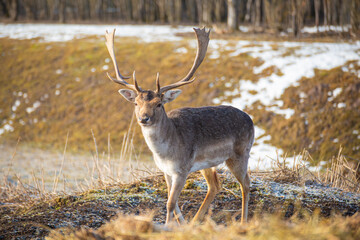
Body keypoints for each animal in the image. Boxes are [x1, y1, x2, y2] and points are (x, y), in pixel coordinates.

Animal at [105, 28, 255, 225]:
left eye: (159, 104)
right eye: (136, 103)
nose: (144, 118)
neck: (166, 153)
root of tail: (251, 121)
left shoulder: (182, 169)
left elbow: (170, 202)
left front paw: (167, 225)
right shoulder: (166, 171)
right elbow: (171, 200)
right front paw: (181, 223)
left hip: (240, 153)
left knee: (246, 183)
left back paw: (243, 221)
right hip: (208, 163)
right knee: (215, 185)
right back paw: (195, 222)